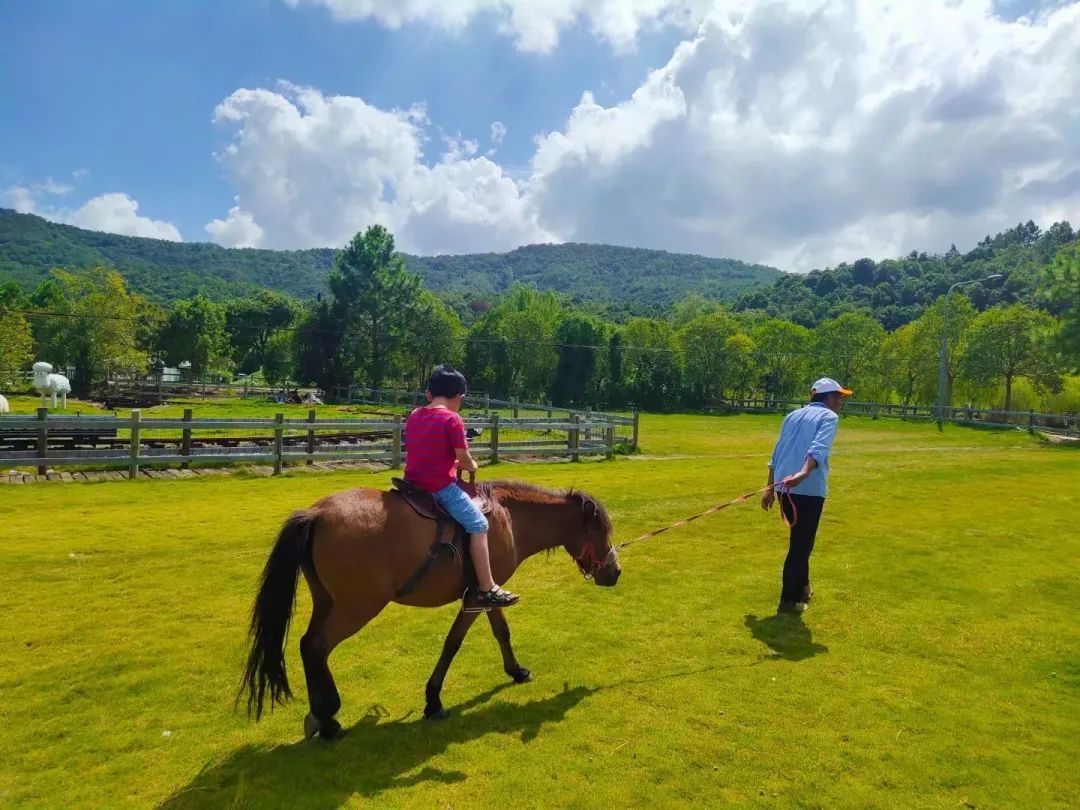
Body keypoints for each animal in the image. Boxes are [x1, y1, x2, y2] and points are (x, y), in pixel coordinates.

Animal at [240, 481, 622, 743]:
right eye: (602, 531)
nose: (614, 572)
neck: (509, 518)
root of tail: (316, 514)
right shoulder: (474, 598)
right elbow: (452, 644)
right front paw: (433, 700)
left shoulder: (489, 592)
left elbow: (501, 631)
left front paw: (516, 671)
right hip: (357, 607)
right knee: (317, 646)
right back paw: (329, 719)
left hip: (327, 601)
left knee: (307, 645)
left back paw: (320, 717)